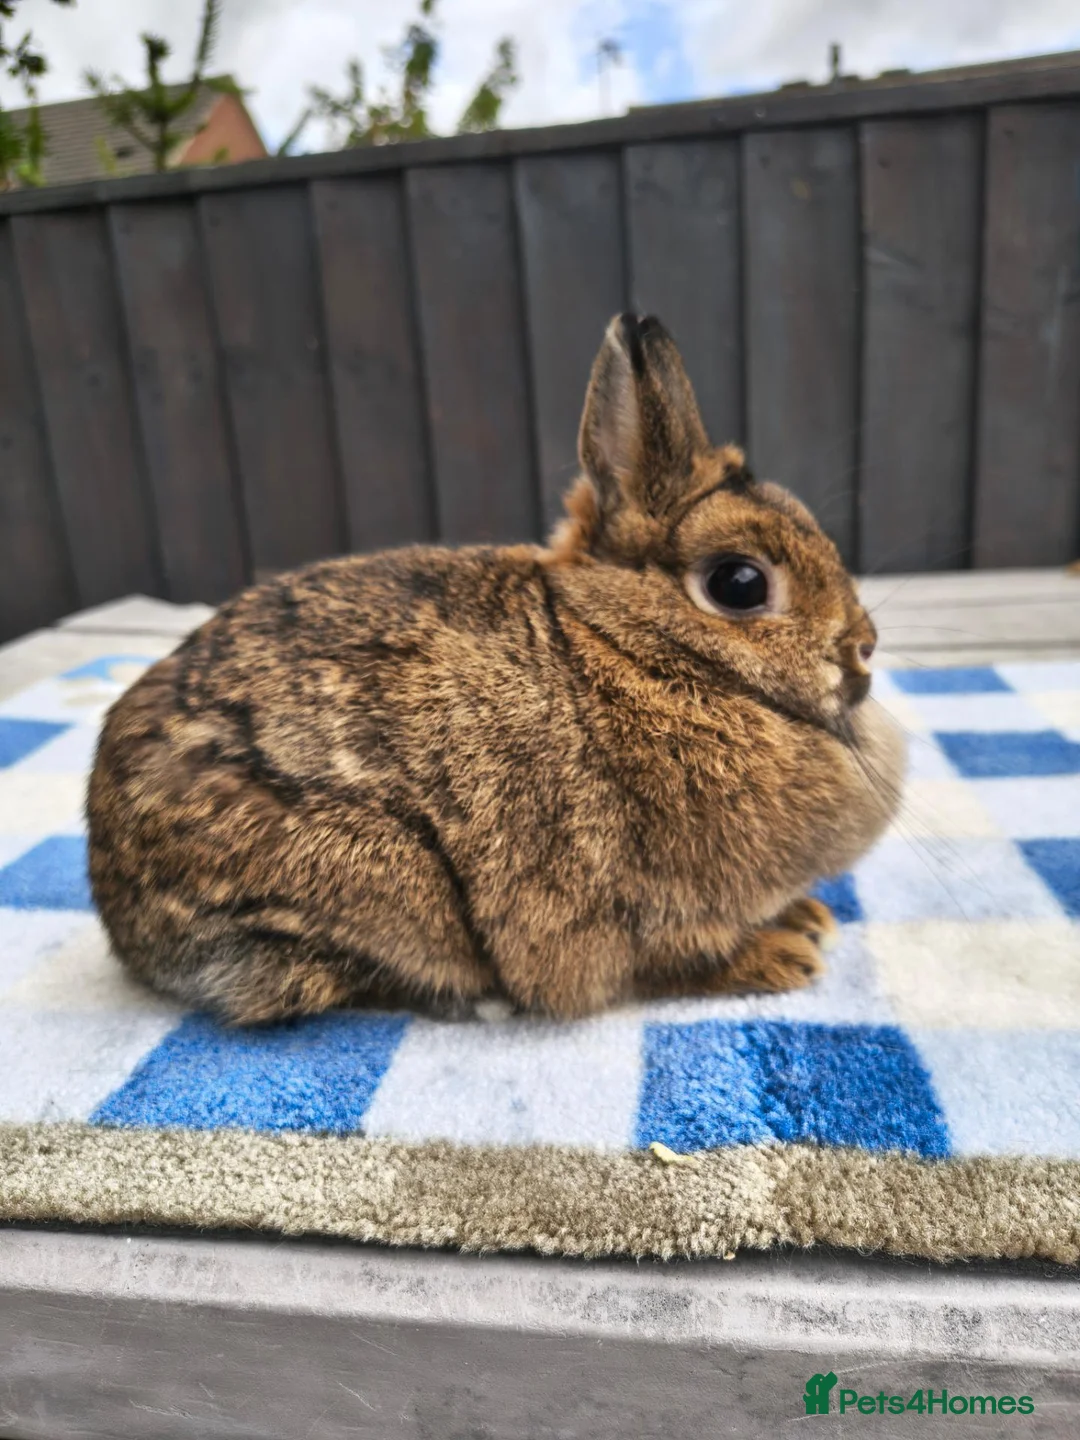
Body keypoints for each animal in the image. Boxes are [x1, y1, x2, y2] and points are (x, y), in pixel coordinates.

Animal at [87, 313, 905, 1026]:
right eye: (739, 584)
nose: (864, 647)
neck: (633, 649)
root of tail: (118, 911)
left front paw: (810, 916)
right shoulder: (643, 913)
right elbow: (669, 964)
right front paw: (786, 953)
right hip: (388, 888)